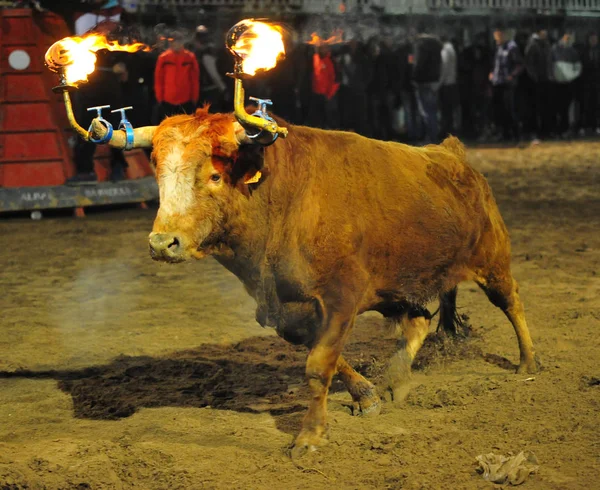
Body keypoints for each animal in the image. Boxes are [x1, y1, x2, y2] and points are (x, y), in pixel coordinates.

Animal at [94, 107, 540, 460]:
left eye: (216, 175)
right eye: (158, 174)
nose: (162, 242)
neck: (283, 197)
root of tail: (451, 153)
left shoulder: (341, 298)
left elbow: (318, 364)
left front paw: (309, 438)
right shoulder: (288, 308)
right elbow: (323, 354)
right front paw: (367, 396)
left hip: (493, 259)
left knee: (512, 302)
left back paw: (528, 363)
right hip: (400, 284)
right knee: (417, 322)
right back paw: (397, 379)